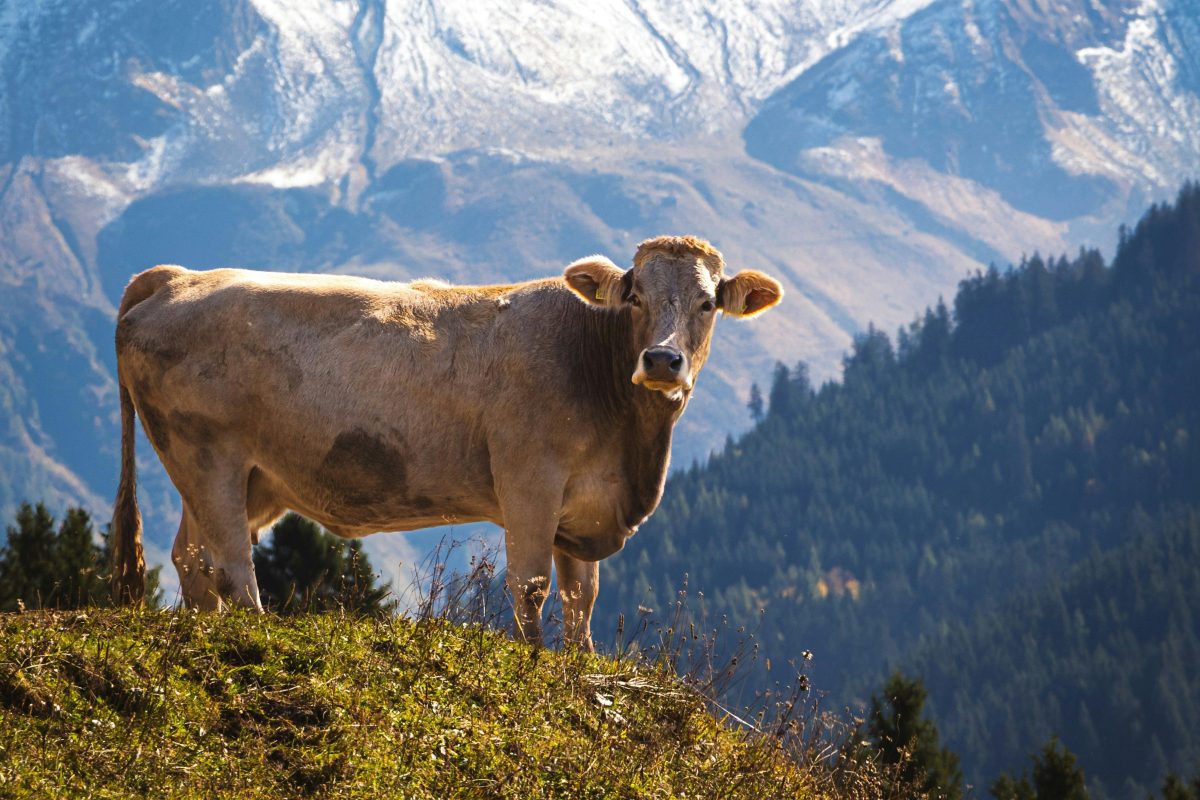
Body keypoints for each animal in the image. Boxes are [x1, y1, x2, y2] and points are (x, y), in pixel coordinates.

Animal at [110, 235, 783, 649]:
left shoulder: (588, 506)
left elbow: (582, 598)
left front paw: (578, 667)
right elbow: (532, 586)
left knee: (191, 559)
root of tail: (178, 275)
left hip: (242, 478)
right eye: (636, 296)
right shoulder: (530, 484)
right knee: (228, 563)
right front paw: (534, 662)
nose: (663, 360)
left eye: (706, 303)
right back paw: (255, 632)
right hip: (206, 456)